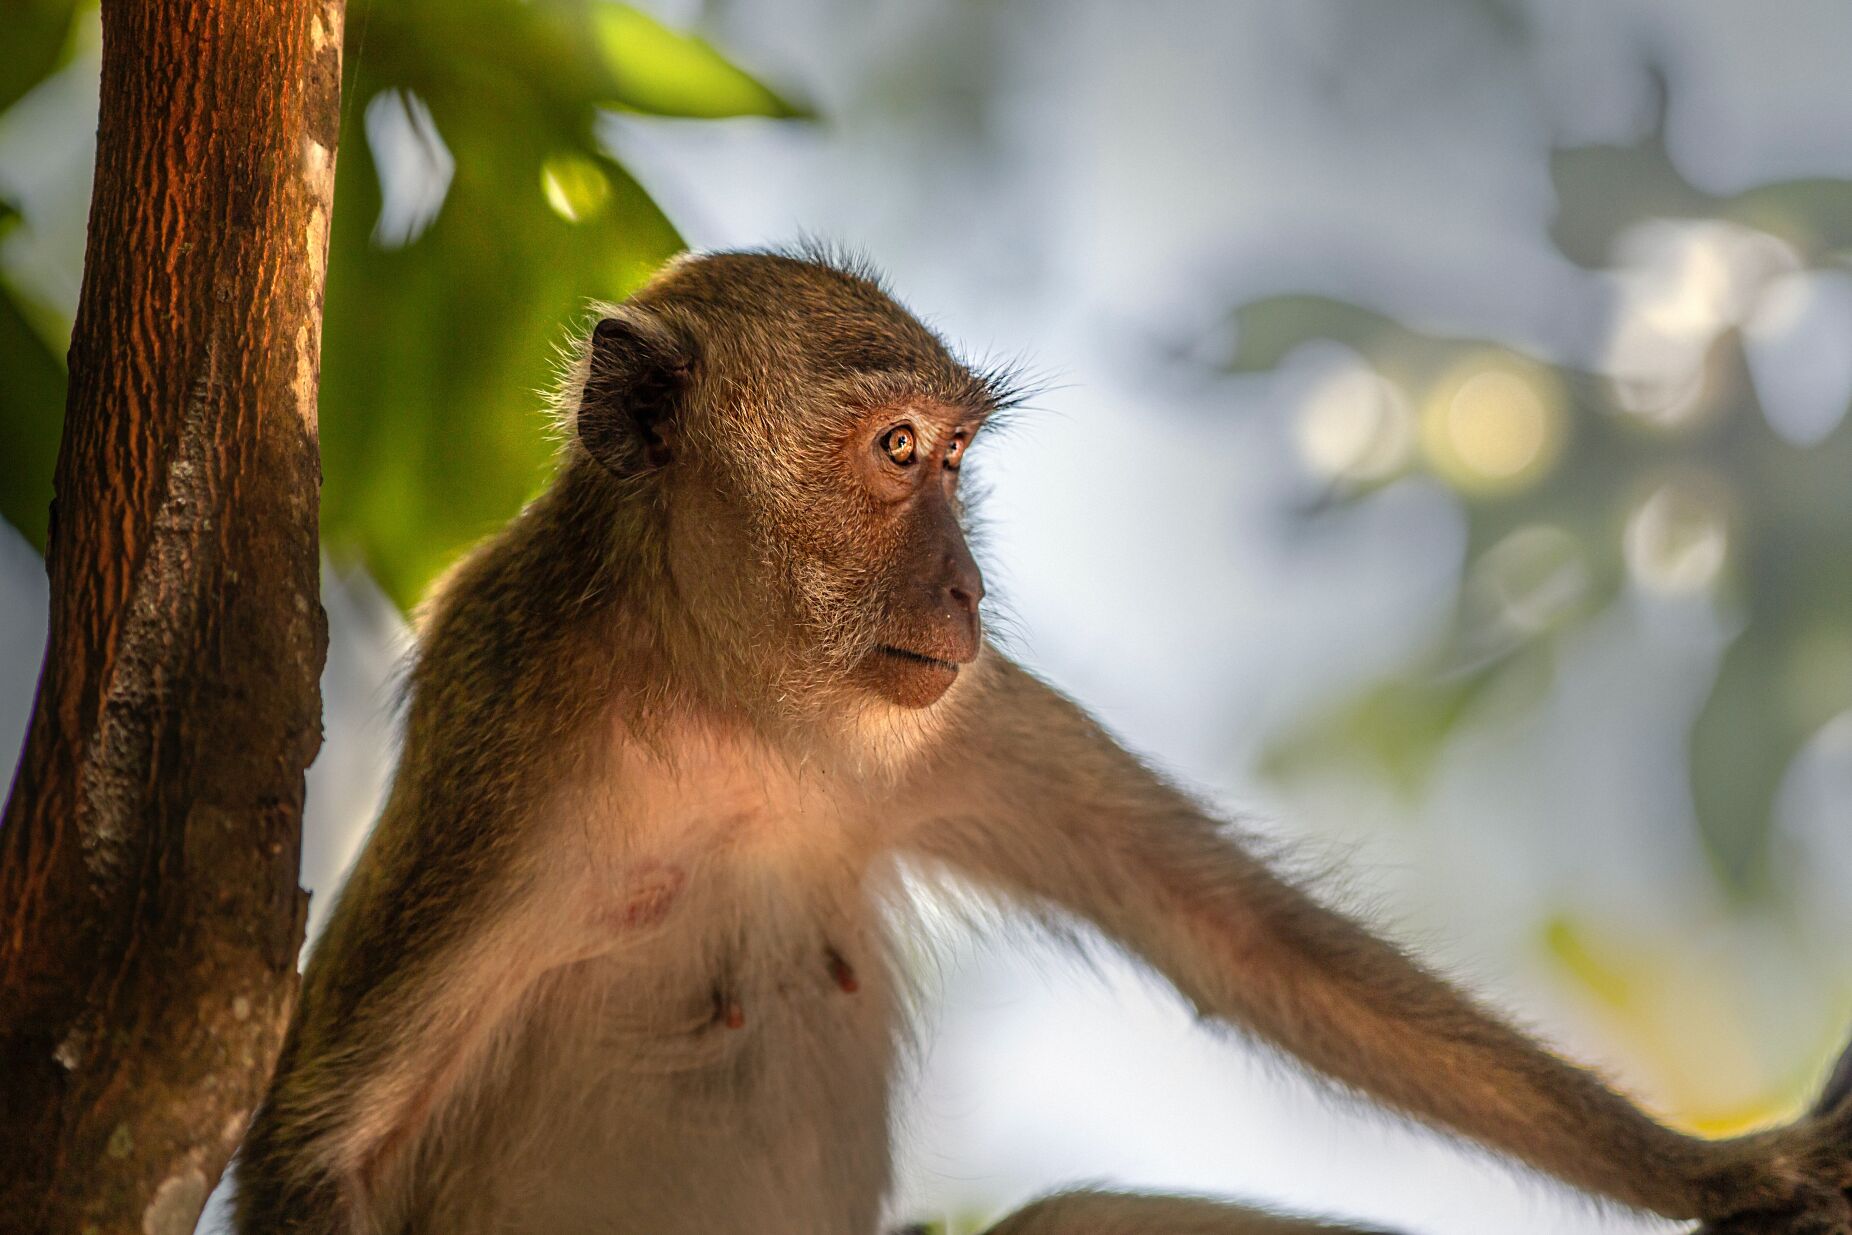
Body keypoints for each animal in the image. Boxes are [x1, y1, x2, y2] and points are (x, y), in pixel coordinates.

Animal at [231, 251, 1852, 1235]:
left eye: (956, 461)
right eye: (895, 452)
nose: (965, 585)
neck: (729, 701)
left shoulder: (953, 713)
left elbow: (1238, 935)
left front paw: (1725, 1170)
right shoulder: (517, 733)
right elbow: (321, 1144)